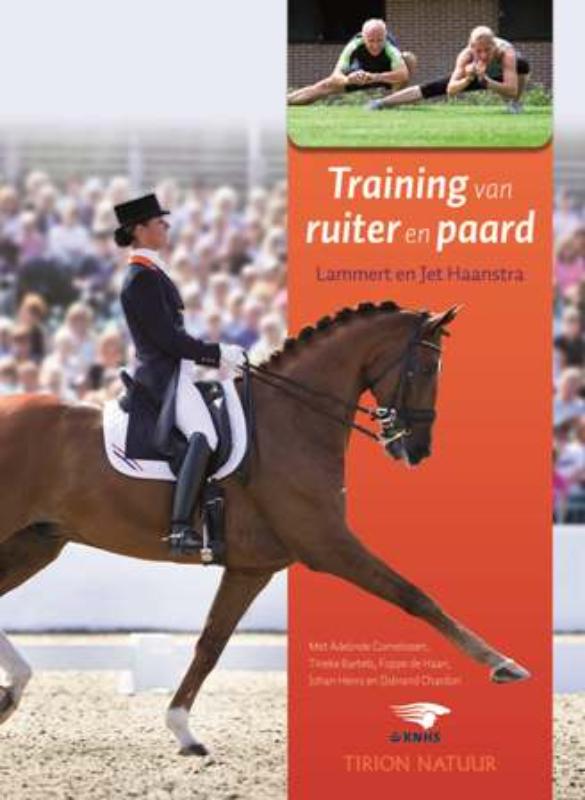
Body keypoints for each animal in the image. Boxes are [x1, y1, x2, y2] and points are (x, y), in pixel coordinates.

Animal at [0, 300, 529, 756]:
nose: (417, 450)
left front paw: (182, 729)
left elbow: (211, 644)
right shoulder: (327, 543)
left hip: (36, 543)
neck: (292, 420)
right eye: (425, 370)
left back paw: (14, 688)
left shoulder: (252, 567)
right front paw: (503, 664)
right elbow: (416, 596)